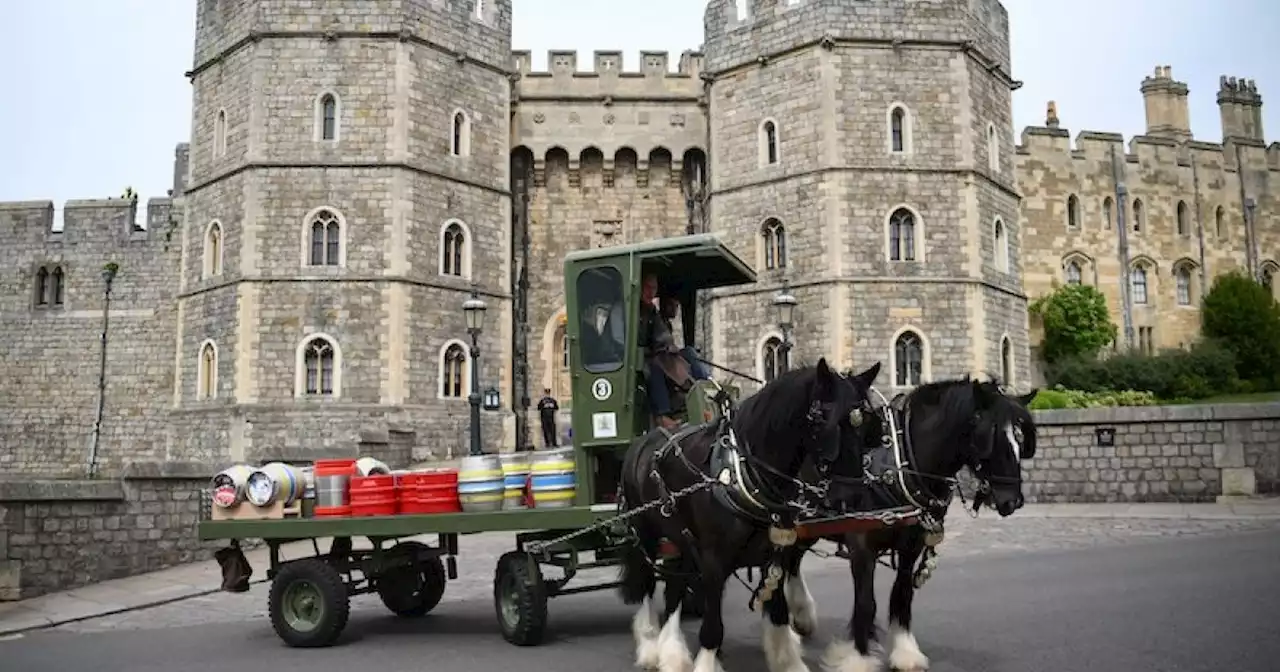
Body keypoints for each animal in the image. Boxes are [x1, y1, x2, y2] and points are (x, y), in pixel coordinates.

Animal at [616, 358, 880, 670]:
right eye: (825, 423)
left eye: (869, 427)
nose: (852, 497)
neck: (745, 474)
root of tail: (643, 440)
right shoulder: (714, 559)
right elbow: (712, 627)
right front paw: (707, 660)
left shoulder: (775, 554)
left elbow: (778, 613)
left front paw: (787, 659)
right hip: (645, 534)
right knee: (647, 583)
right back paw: (649, 645)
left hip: (681, 540)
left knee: (674, 587)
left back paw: (672, 653)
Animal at [808, 376, 1039, 670]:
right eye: (989, 436)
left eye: (1021, 439)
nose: (1013, 501)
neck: (899, 463)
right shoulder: (860, 544)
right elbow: (865, 602)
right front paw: (859, 658)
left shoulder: (912, 544)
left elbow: (902, 593)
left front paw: (905, 652)